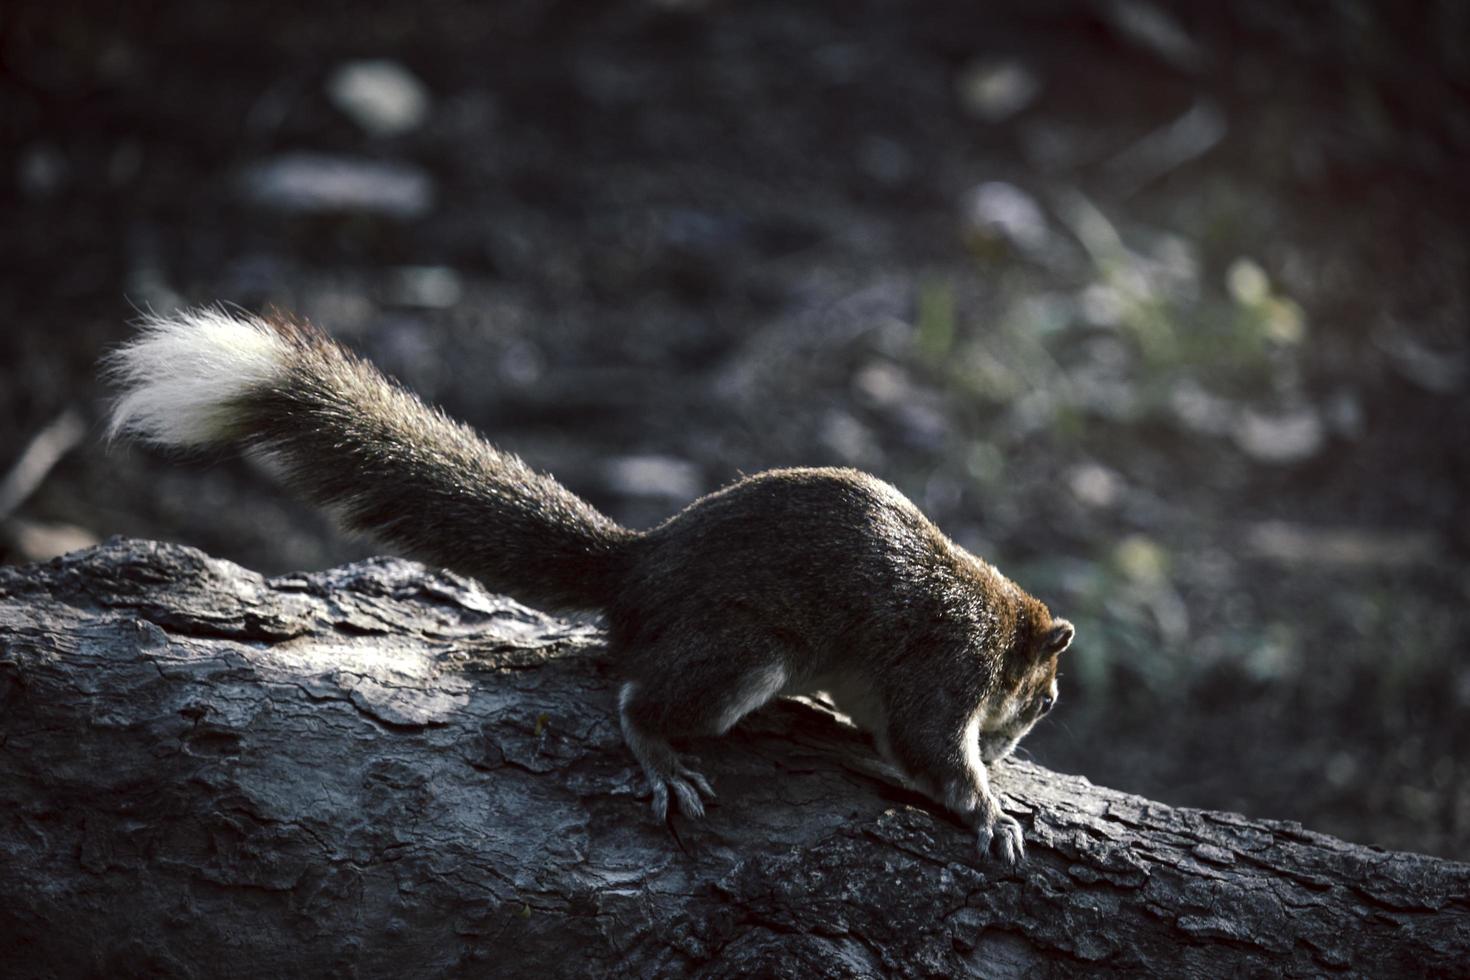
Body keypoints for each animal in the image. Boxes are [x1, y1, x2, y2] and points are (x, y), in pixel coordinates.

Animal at [103, 308, 1070, 863]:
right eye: (1048, 702)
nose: (1014, 750)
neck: (996, 617)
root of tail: (638, 565)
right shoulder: (945, 663)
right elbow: (931, 750)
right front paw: (992, 810)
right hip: (746, 650)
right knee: (640, 698)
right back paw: (663, 759)